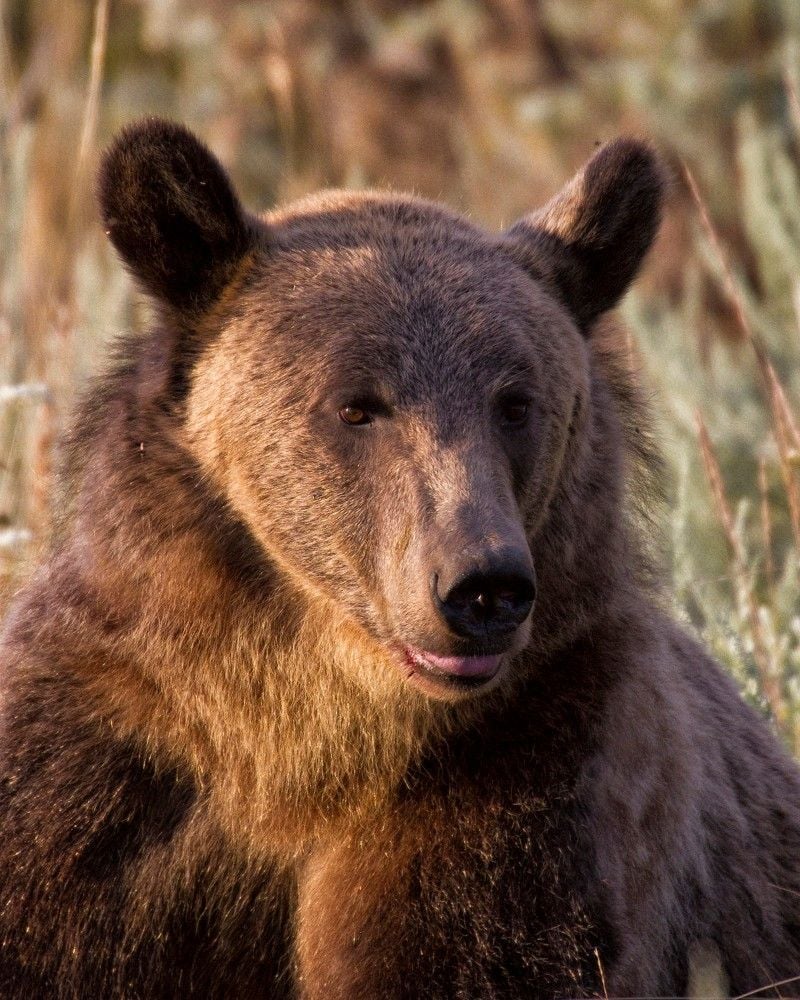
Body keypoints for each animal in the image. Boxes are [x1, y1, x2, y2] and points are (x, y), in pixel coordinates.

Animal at [1, 117, 799, 999]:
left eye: (517, 401)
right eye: (357, 405)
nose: (483, 587)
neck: (294, 735)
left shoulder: (538, 767)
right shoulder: (106, 773)